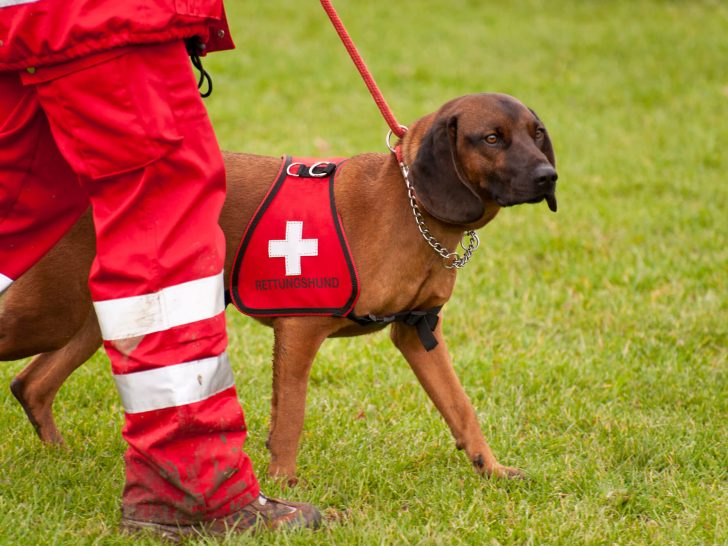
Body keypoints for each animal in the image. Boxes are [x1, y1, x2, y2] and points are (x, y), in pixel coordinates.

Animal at [1, 93, 556, 480]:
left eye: (537, 133)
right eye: (492, 138)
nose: (549, 176)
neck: (409, 205)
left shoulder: (419, 332)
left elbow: (461, 409)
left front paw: (491, 469)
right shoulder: (299, 330)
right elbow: (289, 418)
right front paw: (284, 486)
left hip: (99, 317)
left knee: (31, 384)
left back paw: (61, 458)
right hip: (49, 312)